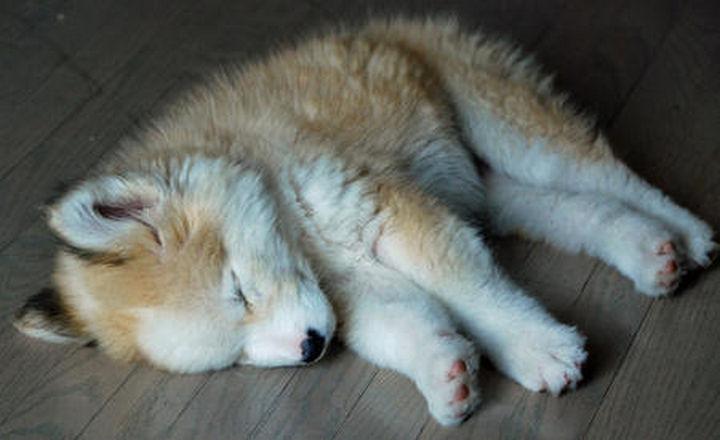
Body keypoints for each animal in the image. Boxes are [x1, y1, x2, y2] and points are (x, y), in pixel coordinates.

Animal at [15, 17, 716, 426]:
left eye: (239, 290)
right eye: (234, 359)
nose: (310, 349)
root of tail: (401, 20)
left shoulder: (388, 216)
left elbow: (477, 293)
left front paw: (540, 349)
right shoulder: (350, 288)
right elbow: (407, 324)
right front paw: (446, 374)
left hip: (511, 131)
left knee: (610, 175)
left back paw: (690, 233)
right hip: (491, 189)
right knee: (585, 211)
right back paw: (651, 251)